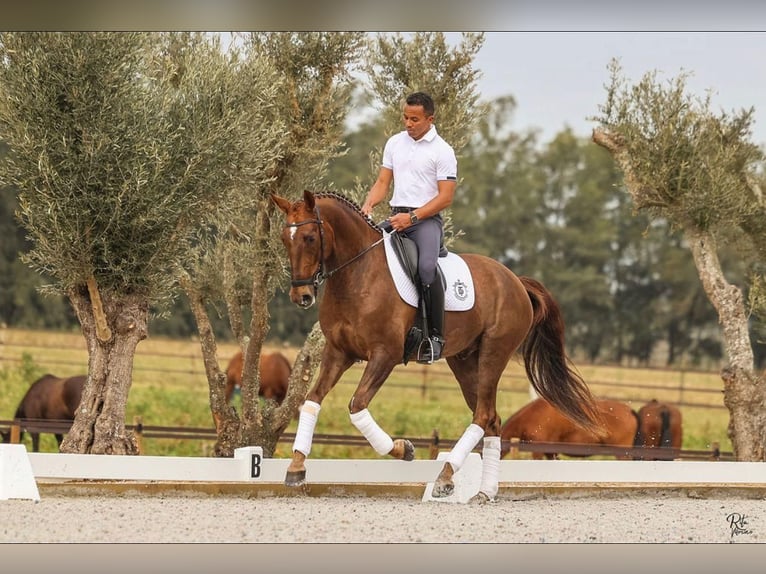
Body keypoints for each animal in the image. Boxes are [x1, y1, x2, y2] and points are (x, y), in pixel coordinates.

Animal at [272, 190, 604, 504]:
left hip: (494, 353)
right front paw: (296, 468)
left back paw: (445, 477)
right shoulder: (338, 353)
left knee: (483, 415)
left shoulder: (385, 355)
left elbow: (357, 406)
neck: (358, 274)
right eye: (284, 239)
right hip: (464, 360)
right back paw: (485, 492)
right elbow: (312, 401)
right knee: (491, 419)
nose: (301, 296)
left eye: (310, 237)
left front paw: (403, 449)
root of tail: (516, 281)